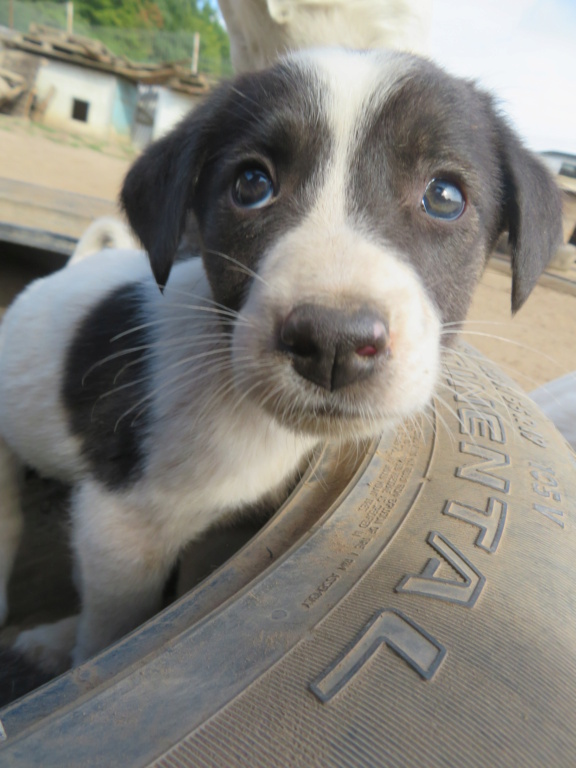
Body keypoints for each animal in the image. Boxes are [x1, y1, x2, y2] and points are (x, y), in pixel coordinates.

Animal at [0, 49, 560, 672]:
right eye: (251, 184)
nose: (334, 344)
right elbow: (107, 639)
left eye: (444, 196)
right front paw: (82, 656)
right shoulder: (119, 528)